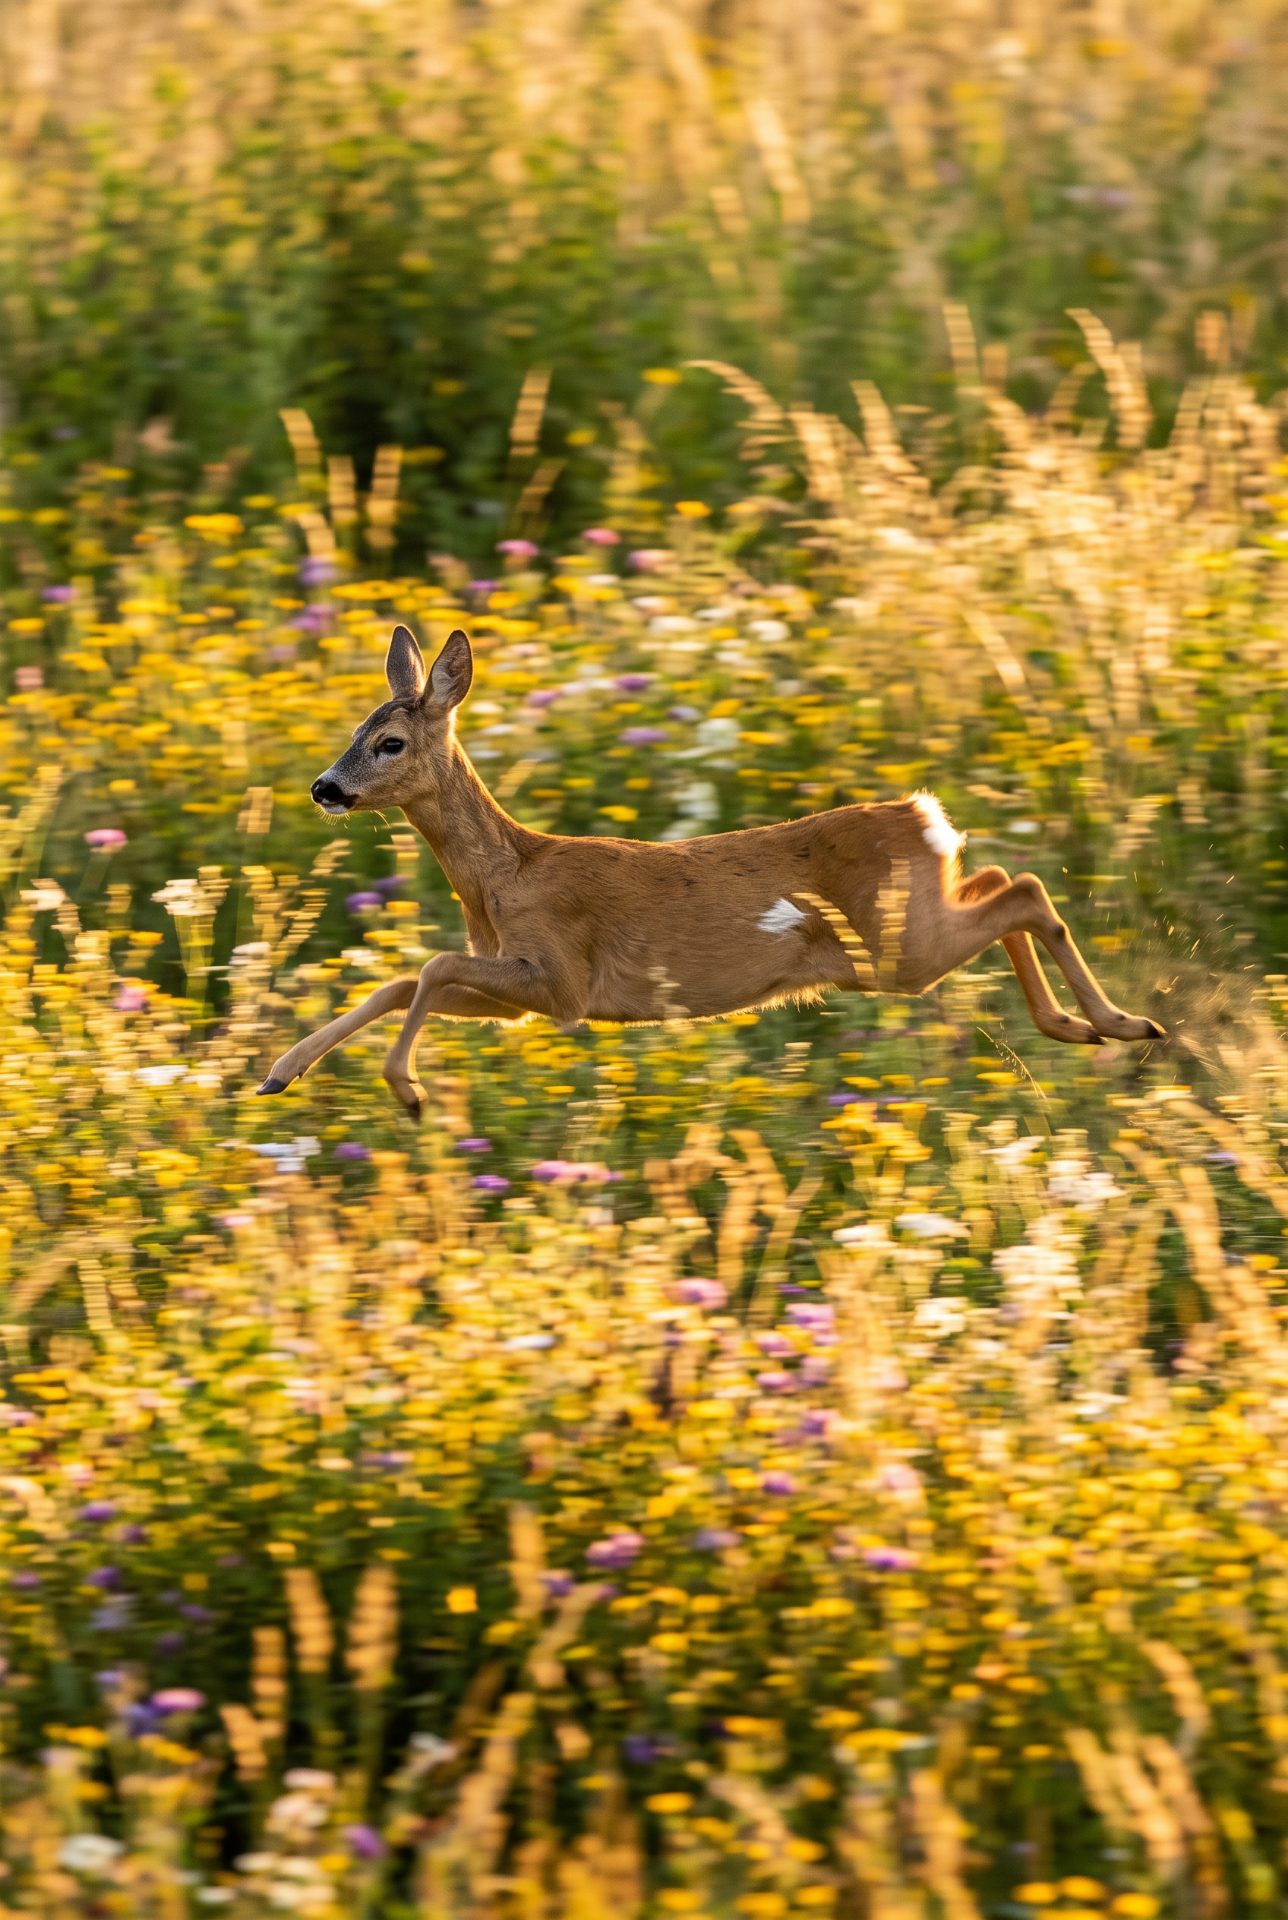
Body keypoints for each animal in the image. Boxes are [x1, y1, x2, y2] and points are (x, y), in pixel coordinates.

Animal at [256, 624, 1163, 1116]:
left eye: (389, 742)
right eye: (355, 730)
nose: (325, 787)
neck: (507, 880)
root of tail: (924, 816)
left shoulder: (564, 981)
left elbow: (431, 965)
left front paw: (405, 1092)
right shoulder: (529, 996)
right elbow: (405, 980)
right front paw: (278, 1074)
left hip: (895, 949)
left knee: (1025, 892)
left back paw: (1122, 1023)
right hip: (911, 927)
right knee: (1007, 884)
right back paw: (1082, 1026)